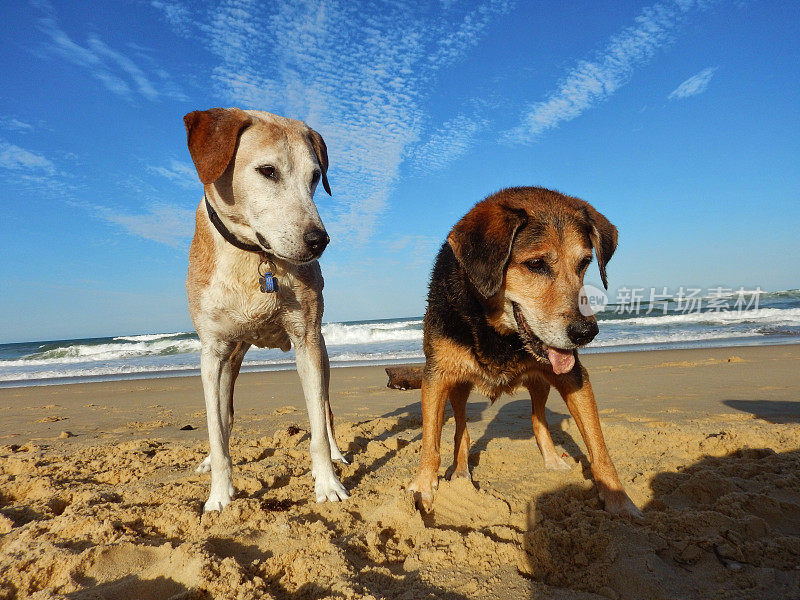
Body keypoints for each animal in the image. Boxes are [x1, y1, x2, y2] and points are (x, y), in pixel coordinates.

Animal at [188, 108, 350, 510]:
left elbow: (317, 427)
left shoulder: (306, 338)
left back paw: (337, 454)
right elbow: (216, 428)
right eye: (267, 171)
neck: (253, 256)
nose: (319, 240)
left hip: (322, 353)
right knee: (225, 414)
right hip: (231, 359)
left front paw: (328, 484)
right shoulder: (212, 351)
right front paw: (219, 495)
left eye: (315, 177)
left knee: (325, 410)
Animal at [410, 189, 640, 520]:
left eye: (585, 262)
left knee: (536, 417)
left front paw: (618, 499)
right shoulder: (436, 376)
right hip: (459, 387)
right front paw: (423, 489)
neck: (499, 333)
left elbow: (598, 446)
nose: (586, 332)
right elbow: (430, 442)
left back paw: (553, 460)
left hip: (541, 381)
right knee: (461, 431)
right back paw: (462, 472)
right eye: (535, 264)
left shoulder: (574, 376)